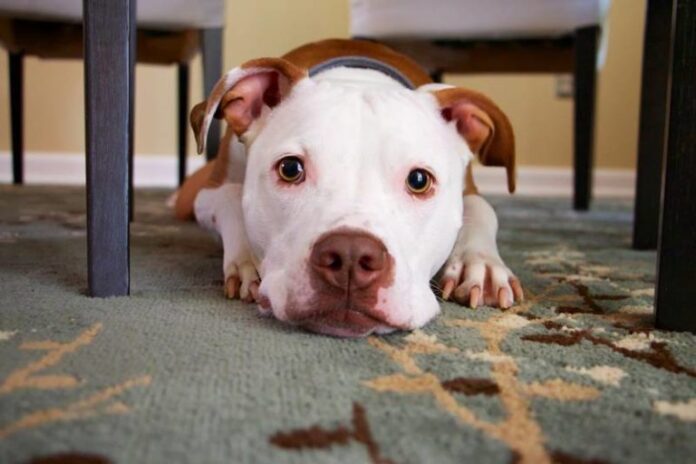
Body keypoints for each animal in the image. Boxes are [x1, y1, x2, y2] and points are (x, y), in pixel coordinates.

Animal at [174, 39, 520, 338]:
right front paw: (247, 261)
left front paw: (481, 265)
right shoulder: (208, 194)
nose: (351, 256)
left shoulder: (469, 191)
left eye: (419, 180)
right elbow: (231, 198)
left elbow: (482, 209)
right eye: (290, 169)